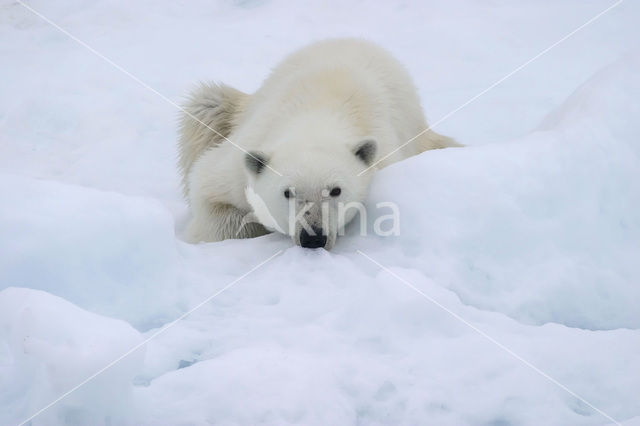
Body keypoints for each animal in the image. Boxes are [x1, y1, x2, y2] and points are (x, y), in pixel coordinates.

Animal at [180, 38, 458, 250]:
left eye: (336, 190)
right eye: (288, 192)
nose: (313, 237)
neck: (315, 118)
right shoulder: (238, 163)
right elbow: (208, 190)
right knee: (206, 105)